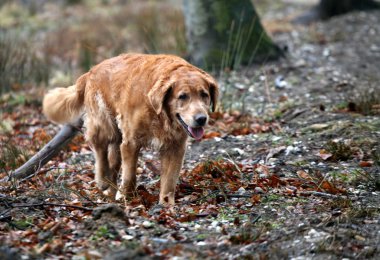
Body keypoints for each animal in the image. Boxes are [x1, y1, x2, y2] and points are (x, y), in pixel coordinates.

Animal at [42, 53, 218, 204]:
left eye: (204, 95)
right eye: (182, 96)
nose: (201, 119)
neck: (158, 111)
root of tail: (91, 70)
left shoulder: (175, 147)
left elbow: (169, 182)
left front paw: (167, 206)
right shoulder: (131, 142)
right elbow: (129, 176)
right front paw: (127, 198)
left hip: (117, 139)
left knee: (112, 164)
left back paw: (110, 192)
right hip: (104, 124)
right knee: (100, 151)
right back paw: (102, 180)